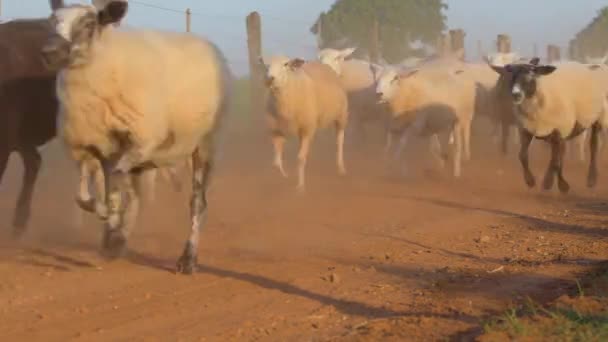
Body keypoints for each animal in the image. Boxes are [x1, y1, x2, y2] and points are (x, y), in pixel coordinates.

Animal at [39, 0, 230, 272]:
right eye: (52, 20)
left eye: (89, 23)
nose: (49, 52)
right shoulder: (89, 147)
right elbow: (84, 195)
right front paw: (107, 225)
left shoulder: (141, 141)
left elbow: (116, 186)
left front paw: (112, 228)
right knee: (134, 193)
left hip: (204, 144)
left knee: (197, 201)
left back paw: (187, 259)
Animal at [258, 54, 350, 191]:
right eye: (266, 65)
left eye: (286, 64)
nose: (269, 79)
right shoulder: (276, 131)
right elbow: (276, 163)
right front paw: (284, 177)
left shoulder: (308, 129)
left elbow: (300, 159)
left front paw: (300, 186)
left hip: (341, 116)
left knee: (339, 141)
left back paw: (341, 168)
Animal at [490, 57, 608, 194]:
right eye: (511, 77)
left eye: (530, 77)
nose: (516, 94)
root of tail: (595, 65)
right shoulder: (526, 130)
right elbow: (523, 156)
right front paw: (530, 181)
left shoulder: (560, 130)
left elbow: (556, 162)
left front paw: (556, 184)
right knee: (560, 153)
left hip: (599, 117)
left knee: (594, 145)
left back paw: (591, 179)